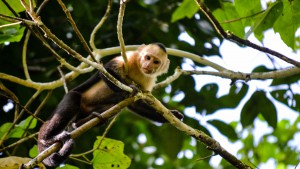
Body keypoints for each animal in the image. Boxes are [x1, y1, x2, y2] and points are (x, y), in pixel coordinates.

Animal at [37, 43, 183, 167]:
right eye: (147, 57)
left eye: (156, 62)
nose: (148, 64)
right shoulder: (129, 57)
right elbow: (106, 71)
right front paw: (128, 91)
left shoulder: (148, 81)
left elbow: (136, 104)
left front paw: (173, 116)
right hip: (72, 97)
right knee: (73, 99)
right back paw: (48, 139)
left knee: (113, 108)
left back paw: (81, 123)